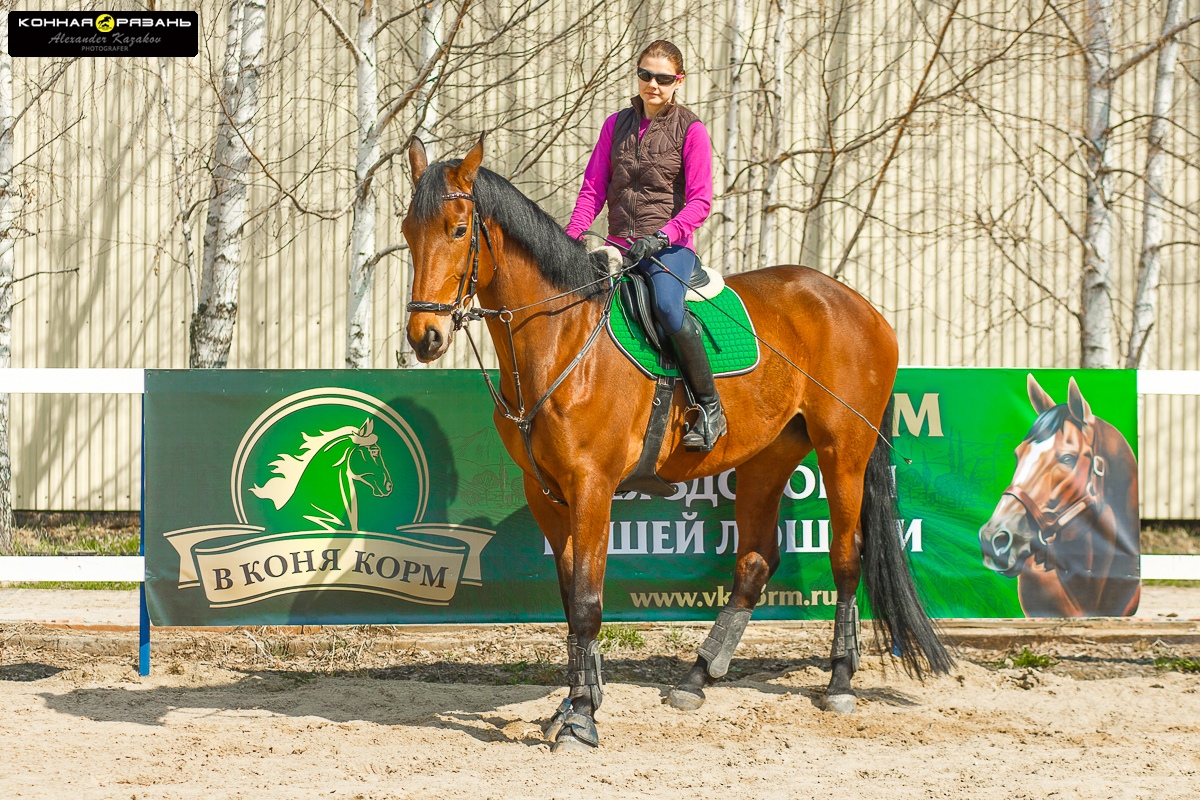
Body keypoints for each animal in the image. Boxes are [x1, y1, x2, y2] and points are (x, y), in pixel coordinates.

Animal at [405, 136, 955, 753]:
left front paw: (581, 719)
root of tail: (856, 303)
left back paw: (838, 680)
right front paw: (573, 703)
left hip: (844, 452)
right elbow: (570, 600)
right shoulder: (546, 491)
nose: (424, 337)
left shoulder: (591, 485)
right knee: (755, 562)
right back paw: (697, 677)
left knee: (845, 557)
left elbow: (588, 604)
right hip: (767, 458)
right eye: (407, 229)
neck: (563, 339)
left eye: (457, 229)